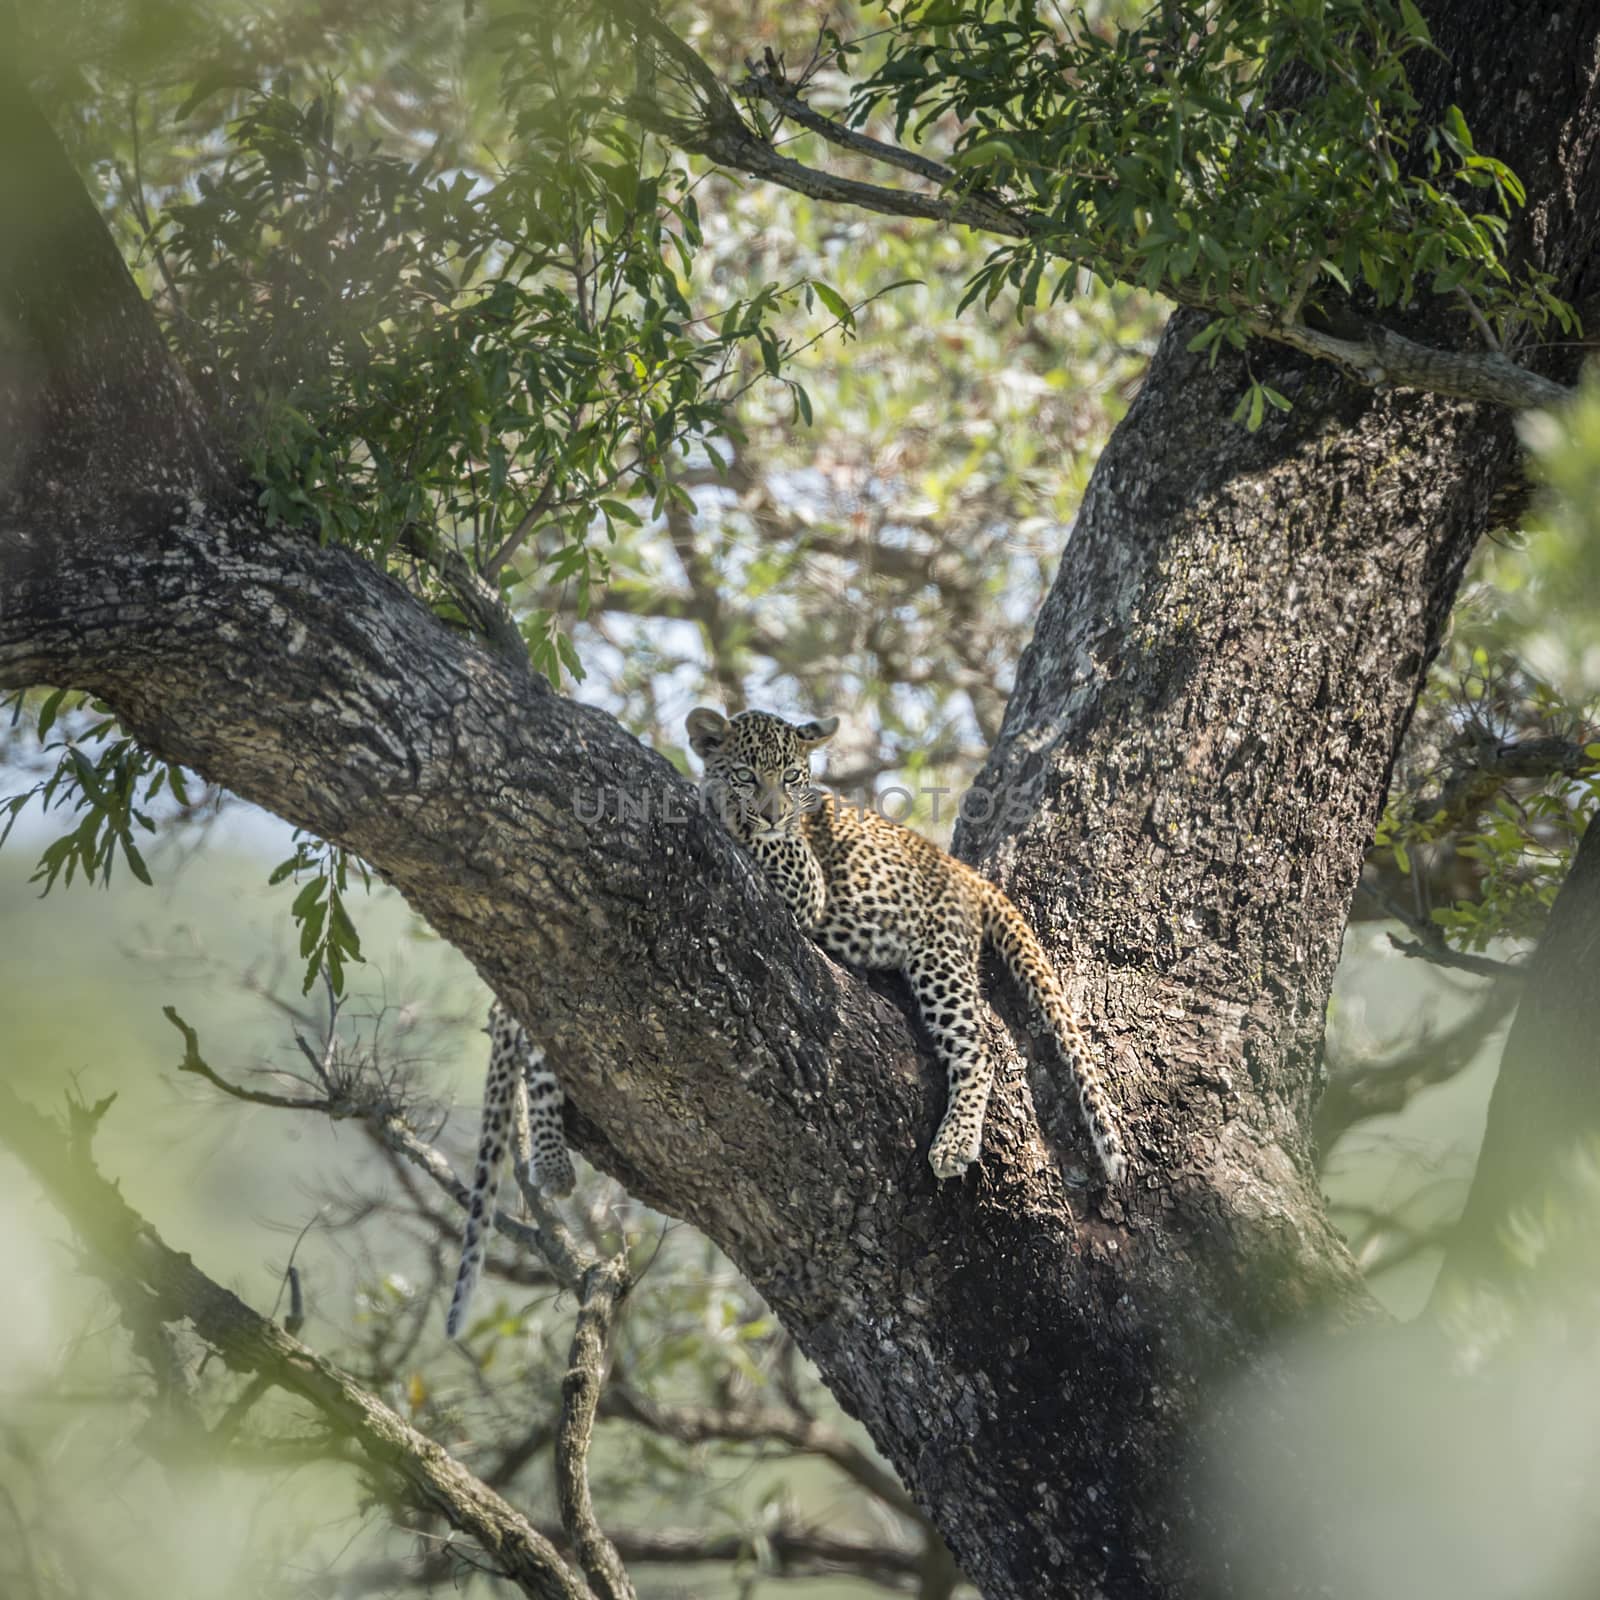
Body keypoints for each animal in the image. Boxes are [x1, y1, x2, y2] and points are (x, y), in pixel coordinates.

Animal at [688, 707, 1126, 1184]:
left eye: (790, 777)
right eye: (746, 775)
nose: (773, 814)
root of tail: (963, 871)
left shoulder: (806, 882)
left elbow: (754, 832)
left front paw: (720, 804)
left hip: (940, 958)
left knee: (977, 1050)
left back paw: (955, 1142)